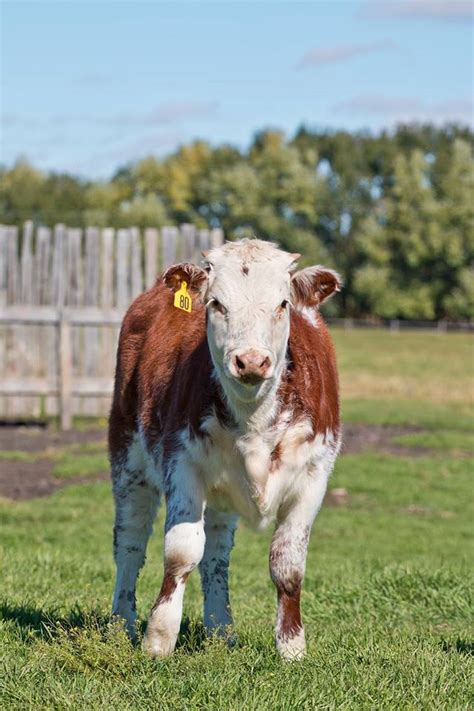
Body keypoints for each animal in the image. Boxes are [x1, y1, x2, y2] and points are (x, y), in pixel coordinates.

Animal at [109, 241, 342, 660]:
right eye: (216, 303)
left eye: (283, 303)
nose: (251, 361)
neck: (253, 418)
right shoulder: (182, 463)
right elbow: (181, 553)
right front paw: (158, 639)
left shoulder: (314, 475)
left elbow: (288, 563)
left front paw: (292, 647)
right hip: (127, 458)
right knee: (130, 543)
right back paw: (121, 625)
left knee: (217, 554)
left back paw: (221, 630)